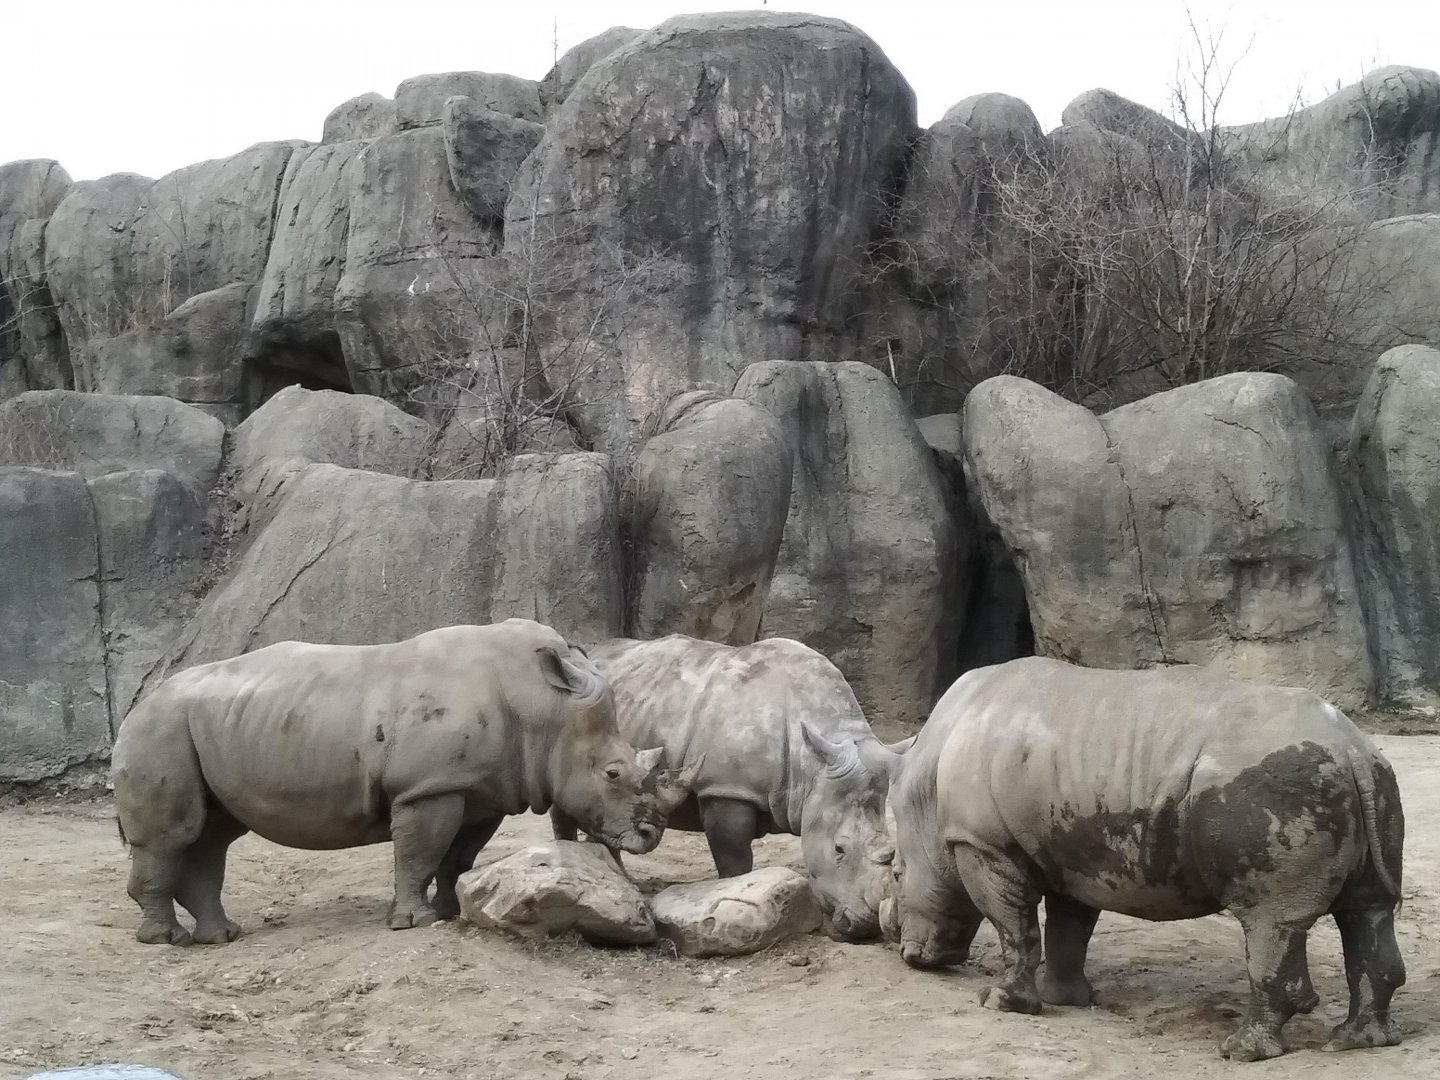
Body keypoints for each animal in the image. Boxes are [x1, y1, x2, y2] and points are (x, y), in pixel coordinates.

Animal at [111, 619, 699, 946]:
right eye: (613, 774)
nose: (650, 836)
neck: (545, 710)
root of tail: (136, 705)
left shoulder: (479, 788)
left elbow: (457, 855)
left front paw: (450, 911)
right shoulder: (429, 785)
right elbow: (420, 850)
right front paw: (414, 922)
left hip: (209, 728)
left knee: (213, 835)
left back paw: (221, 937)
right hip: (160, 729)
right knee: (174, 836)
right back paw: (167, 941)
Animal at [551, 634, 905, 941]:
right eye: (838, 849)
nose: (866, 925)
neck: (811, 767)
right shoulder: (725, 789)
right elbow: (736, 861)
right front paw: (731, 899)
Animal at [871, 657, 1405, 1062]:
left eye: (895, 873)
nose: (902, 948)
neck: (925, 792)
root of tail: (1353, 748)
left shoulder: (982, 844)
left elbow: (1013, 926)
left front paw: (1001, 1002)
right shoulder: (1071, 849)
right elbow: (1068, 929)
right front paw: (1064, 999)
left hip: (1276, 786)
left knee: (1269, 920)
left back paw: (1240, 1051)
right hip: (1370, 779)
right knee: (1369, 911)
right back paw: (1357, 1041)